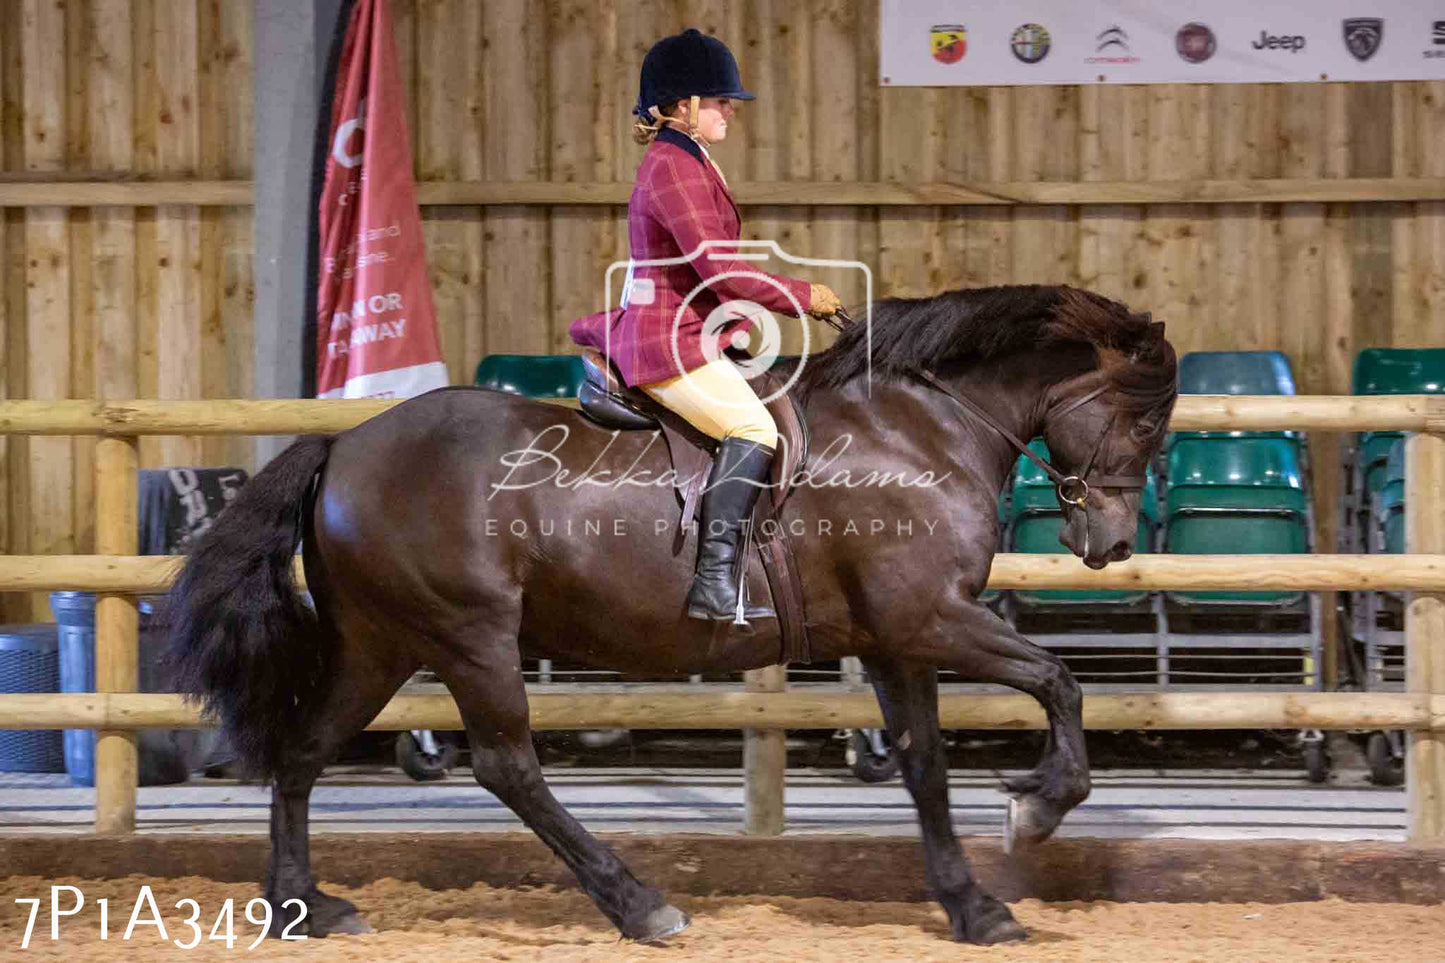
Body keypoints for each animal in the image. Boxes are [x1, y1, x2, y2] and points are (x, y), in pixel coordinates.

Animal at [166, 281, 1173, 942]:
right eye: (1142, 422)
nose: (1111, 542)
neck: (916, 426)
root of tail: (344, 446)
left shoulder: (895, 640)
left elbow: (925, 764)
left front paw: (973, 906)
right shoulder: (931, 616)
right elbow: (1060, 680)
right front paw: (1038, 807)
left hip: (380, 642)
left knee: (302, 752)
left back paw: (303, 908)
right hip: (469, 636)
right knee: (506, 765)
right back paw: (638, 903)